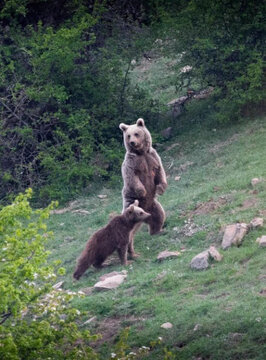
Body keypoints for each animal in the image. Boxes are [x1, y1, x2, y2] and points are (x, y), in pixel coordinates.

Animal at [119, 116, 167, 258]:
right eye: (128, 135)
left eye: (136, 133)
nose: (132, 142)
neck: (141, 152)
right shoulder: (132, 162)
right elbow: (132, 176)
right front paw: (142, 191)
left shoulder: (152, 157)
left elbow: (160, 172)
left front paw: (161, 188)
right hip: (131, 206)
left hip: (153, 207)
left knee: (159, 216)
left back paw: (157, 231)